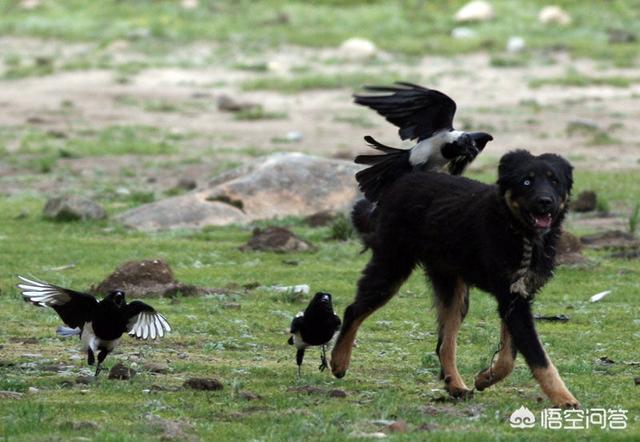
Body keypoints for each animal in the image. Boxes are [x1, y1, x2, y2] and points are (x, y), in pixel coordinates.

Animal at [330, 149, 580, 408]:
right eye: (526, 182)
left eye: (555, 181)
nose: (545, 201)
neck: (518, 231)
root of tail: (404, 179)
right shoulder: (511, 298)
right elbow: (537, 355)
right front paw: (564, 398)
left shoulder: (518, 296)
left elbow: (509, 356)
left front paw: (485, 377)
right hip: (392, 268)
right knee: (353, 310)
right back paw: (339, 361)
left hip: (453, 289)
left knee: (444, 344)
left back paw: (456, 386)